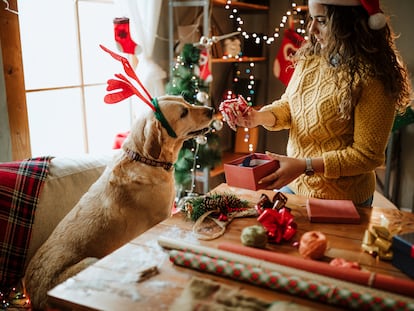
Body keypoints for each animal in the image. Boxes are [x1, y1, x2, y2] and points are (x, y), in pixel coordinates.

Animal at [24, 95, 215, 310]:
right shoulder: (164, 216)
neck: (146, 159)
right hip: (90, 262)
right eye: (183, 113)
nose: (211, 109)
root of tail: (32, 296)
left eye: (186, 101)